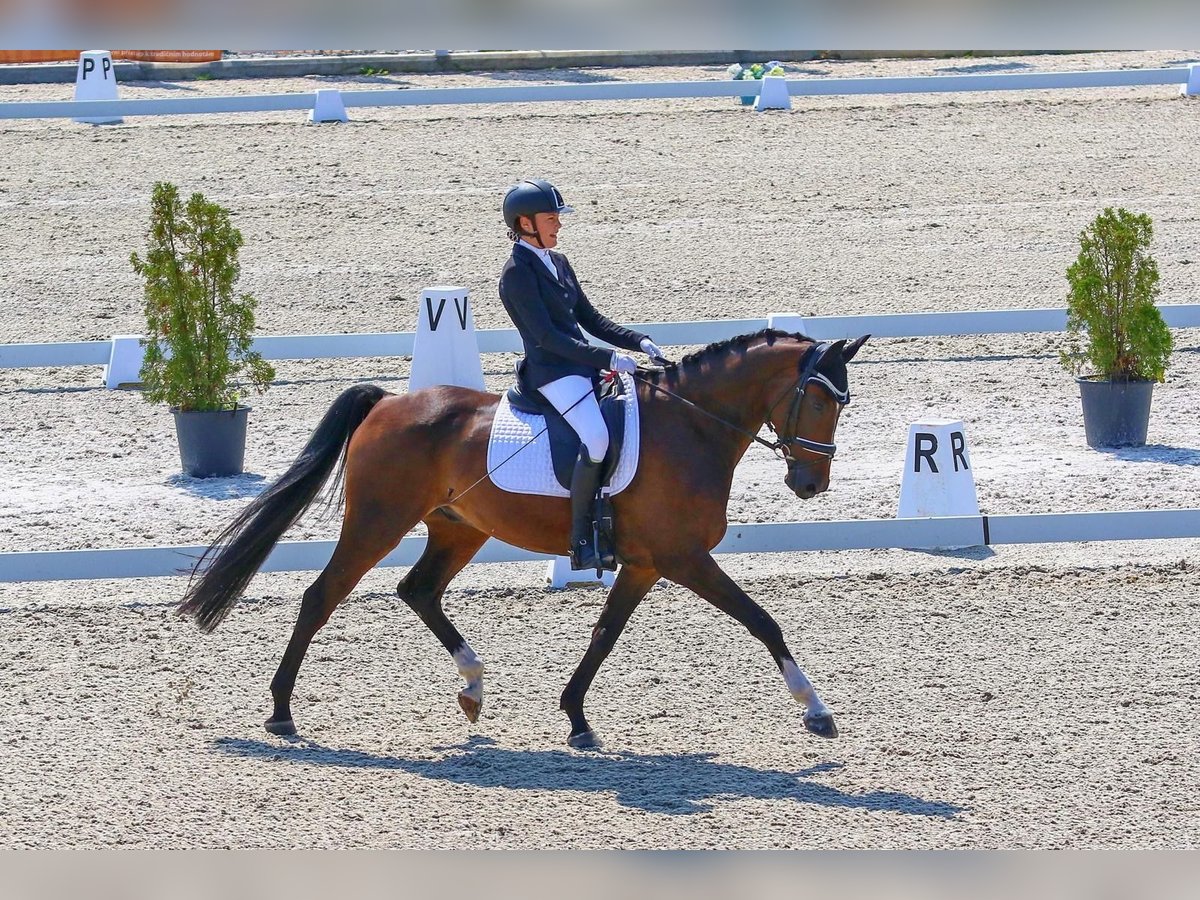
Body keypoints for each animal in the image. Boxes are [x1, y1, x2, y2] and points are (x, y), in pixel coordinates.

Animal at [177, 328, 868, 748]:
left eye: (842, 403)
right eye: (818, 401)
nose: (811, 483)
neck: (691, 427)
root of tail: (387, 403)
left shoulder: (646, 563)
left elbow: (604, 634)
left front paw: (577, 718)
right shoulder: (683, 557)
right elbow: (762, 620)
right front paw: (816, 709)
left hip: (457, 530)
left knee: (417, 590)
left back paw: (473, 686)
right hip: (377, 522)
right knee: (321, 597)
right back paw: (282, 711)